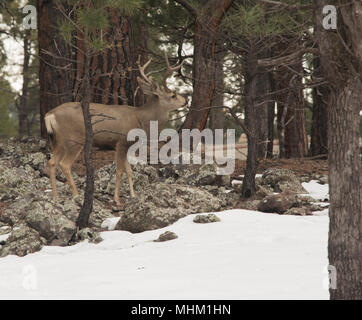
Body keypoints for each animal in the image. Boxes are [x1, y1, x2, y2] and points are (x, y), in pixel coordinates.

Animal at [45, 51, 185, 204]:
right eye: (173, 95)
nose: (185, 100)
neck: (141, 120)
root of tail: (50, 115)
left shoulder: (127, 145)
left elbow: (129, 171)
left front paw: (133, 195)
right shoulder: (121, 142)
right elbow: (119, 170)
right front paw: (117, 199)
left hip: (58, 141)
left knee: (52, 162)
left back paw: (55, 195)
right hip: (74, 139)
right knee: (64, 164)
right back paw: (76, 195)